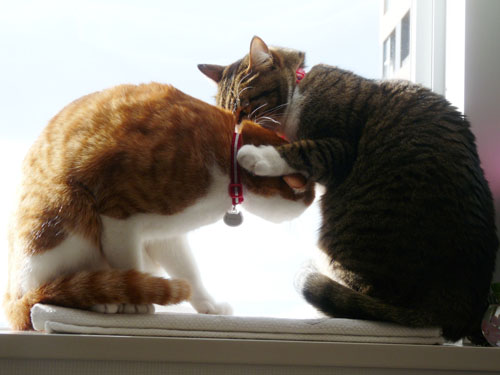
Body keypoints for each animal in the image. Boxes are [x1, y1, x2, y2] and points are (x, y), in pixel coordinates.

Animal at [3, 83, 314, 332]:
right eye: (306, 194)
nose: (309, 206)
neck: (226, 154)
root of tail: (12, 291)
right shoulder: (118, 217)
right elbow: (129, 265)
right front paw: (133, 303)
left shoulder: (166, 235)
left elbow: (188, 272)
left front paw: (208, 305)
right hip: (66, 209)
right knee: (50, 289)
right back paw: (100, 300)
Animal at [198, 37, 496, 344]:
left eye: (244, 108)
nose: (235, 133)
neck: (299, 88)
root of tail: (457, 307)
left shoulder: (339, 147)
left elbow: (303, 150)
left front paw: (256, 155)